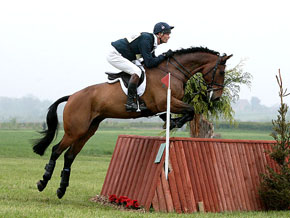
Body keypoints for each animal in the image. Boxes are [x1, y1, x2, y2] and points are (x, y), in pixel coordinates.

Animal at [32, 46, 233, 198]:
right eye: (222, 71)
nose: (216, 97)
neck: (172, 71)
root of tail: (72, 96)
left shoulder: (166, 105)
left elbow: (189, 112)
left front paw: (171, 122)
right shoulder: (165, 102)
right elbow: (190, 110)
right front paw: (173, 123)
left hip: (88, 130)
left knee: (69, 155)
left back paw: (61, 189)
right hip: (75, 131)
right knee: (56, 150)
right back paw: (43, 181)